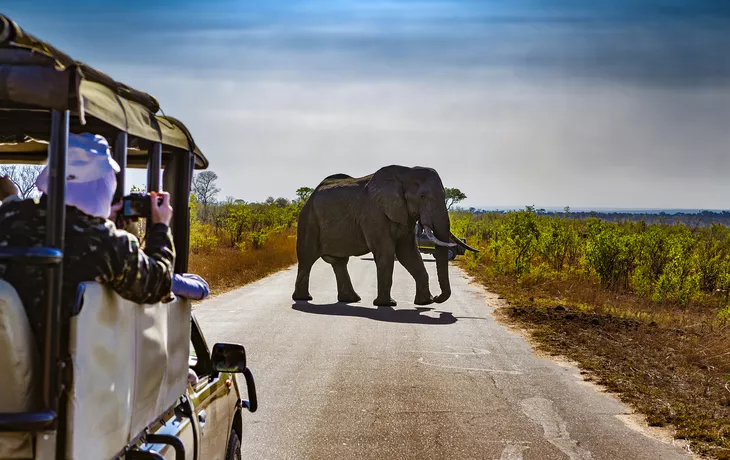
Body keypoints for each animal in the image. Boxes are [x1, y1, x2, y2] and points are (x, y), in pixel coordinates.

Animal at [290, 164, 478, 308]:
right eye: (422, 196)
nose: (439, 299)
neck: (405, 173)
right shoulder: (374, 214)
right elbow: (386, 253)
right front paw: (387, 304)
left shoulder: (404, 215)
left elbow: (408, 253)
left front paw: (425, 303)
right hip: (308, 220)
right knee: (307, 258)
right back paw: (304, 299)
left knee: (339, 262)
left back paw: (351, 300)